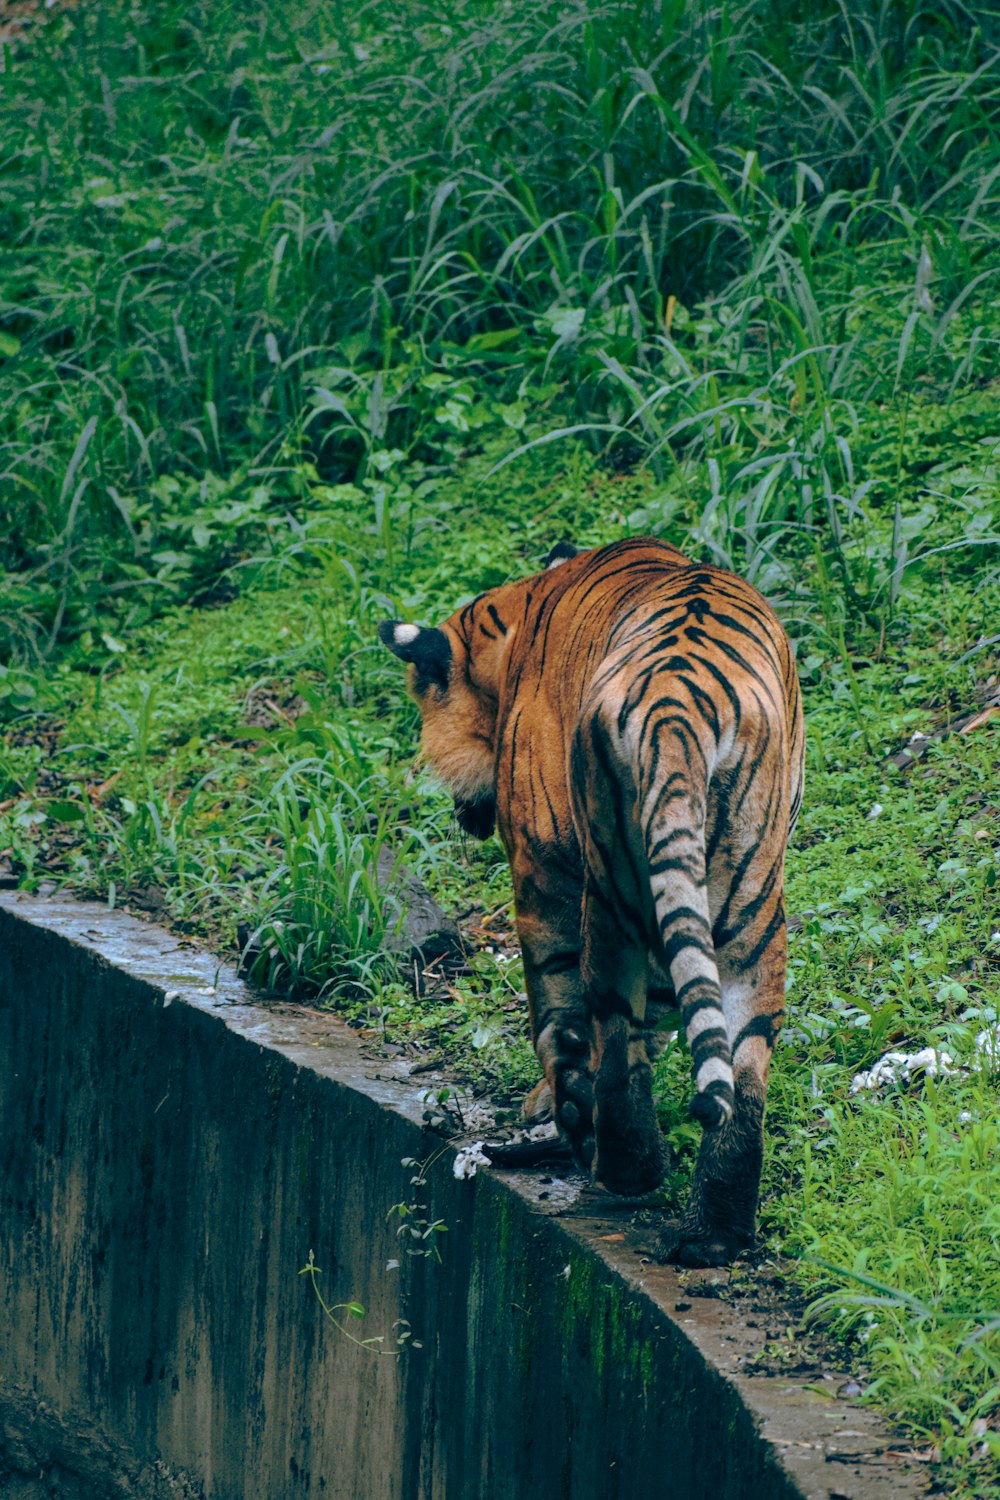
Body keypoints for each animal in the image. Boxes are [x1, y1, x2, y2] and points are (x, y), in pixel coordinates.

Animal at [374, 540, 803, 1266]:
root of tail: (675, 710)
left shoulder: (540, 865)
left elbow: (557, 1005)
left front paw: (557, 1105)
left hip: (607, 889)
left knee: (611, 1025)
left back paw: (620, 1161)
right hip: (749, 907)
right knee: (741, 1059)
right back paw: (715, 1232)